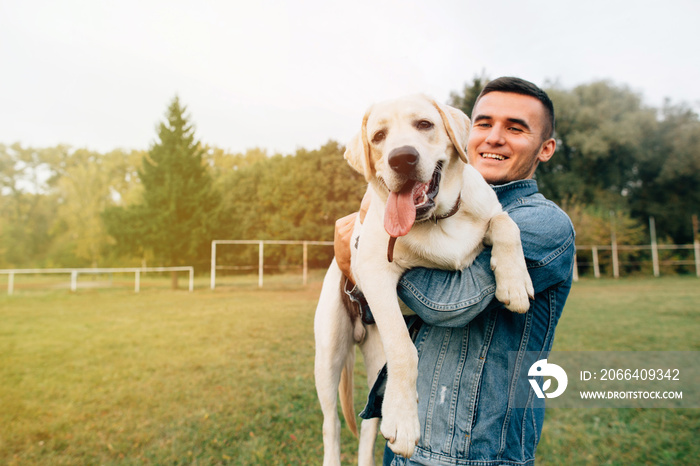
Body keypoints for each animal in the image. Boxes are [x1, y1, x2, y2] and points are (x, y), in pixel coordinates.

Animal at [314, 93, 532, 464]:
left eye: (425, 124)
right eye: (378, 137)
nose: (402, 158)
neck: (437, 221)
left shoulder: (491, 212)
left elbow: (506, 223)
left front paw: (515, 282)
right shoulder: (375, 270)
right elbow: (404, 350)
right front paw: (404, 421)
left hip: (376, 358)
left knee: (369, 424)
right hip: (328, 356)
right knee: (332, 426)